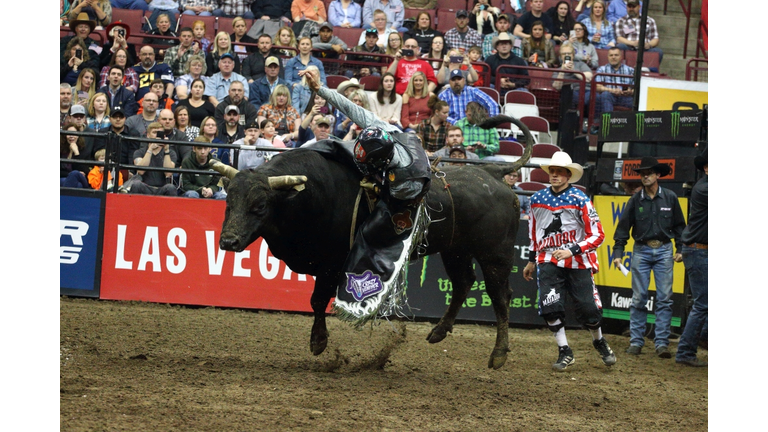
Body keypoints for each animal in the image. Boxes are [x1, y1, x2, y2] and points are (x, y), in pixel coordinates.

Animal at [210, 116, 536, 370]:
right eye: (229, 203)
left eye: (260, 206)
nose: (228, 240)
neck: (310, 194)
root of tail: (492, 174)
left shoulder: (332, 264)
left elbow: (318, 300)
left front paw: (319, 342)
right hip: (456, 250)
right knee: (463, 282)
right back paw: (439, 332)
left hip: (495, 254)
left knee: (499, 295)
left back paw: (498, 355)